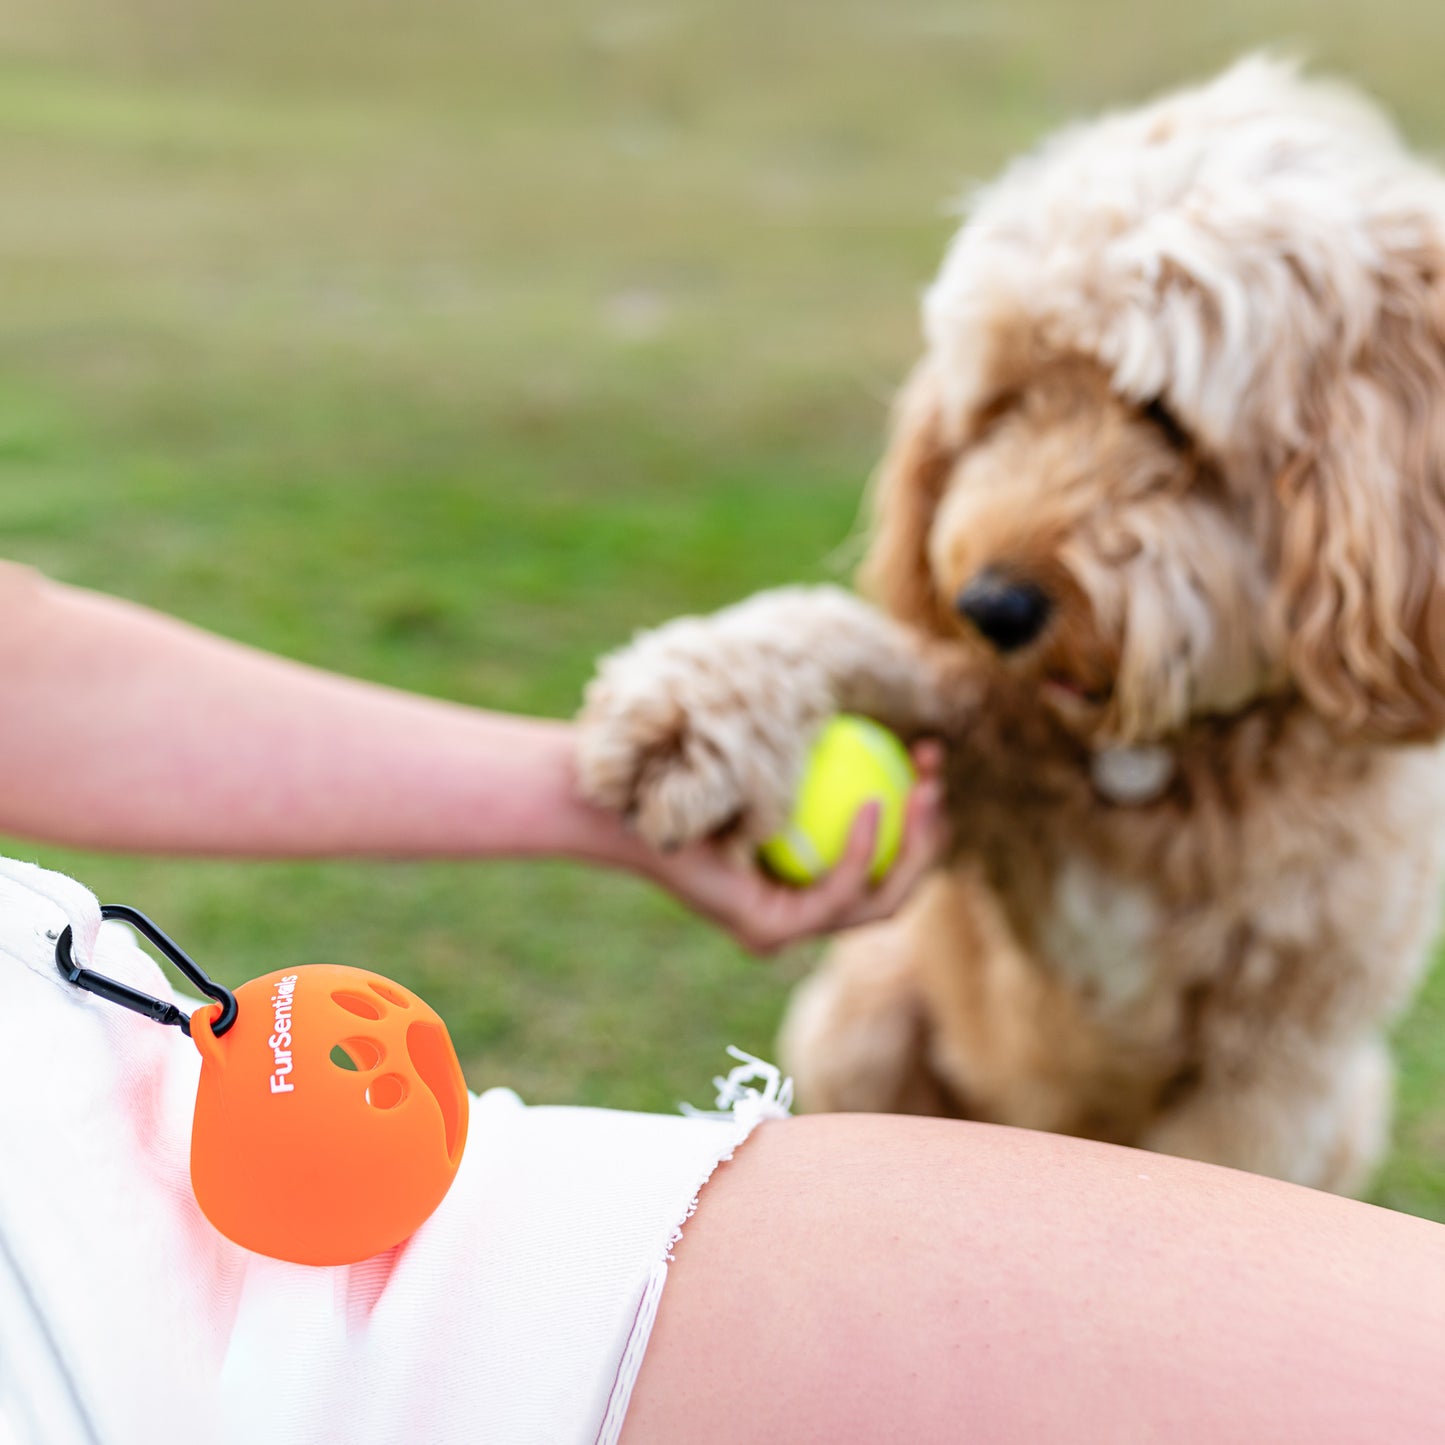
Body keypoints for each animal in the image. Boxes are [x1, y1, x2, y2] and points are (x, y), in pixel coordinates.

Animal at [578, 59, 1445, 1196]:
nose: (990, 606)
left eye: (1161, 415)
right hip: (860, 1016)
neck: (1152, 760)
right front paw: (690, 708)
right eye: (1003, 403)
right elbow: (858, 640)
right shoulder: (984, 750)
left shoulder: (1275, 1069)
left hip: (1347, 1109)